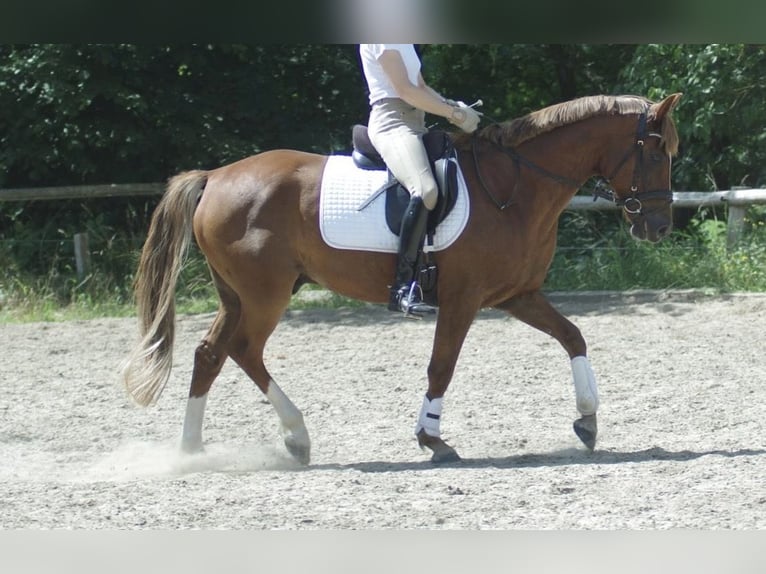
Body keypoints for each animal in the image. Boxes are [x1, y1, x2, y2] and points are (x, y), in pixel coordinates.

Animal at [123, 93, 688, 464]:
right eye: (656, 151)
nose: (659, 226)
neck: (514, 187)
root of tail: (216, 176)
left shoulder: (517, 295)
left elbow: (573, 335)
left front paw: (587, 421)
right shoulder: (463, 299)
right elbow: (442, 367)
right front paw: (432, 439)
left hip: (237, 296)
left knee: (210, 354)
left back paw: (192, 450)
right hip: (266, 295)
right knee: (244, 351)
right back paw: (297, 436)